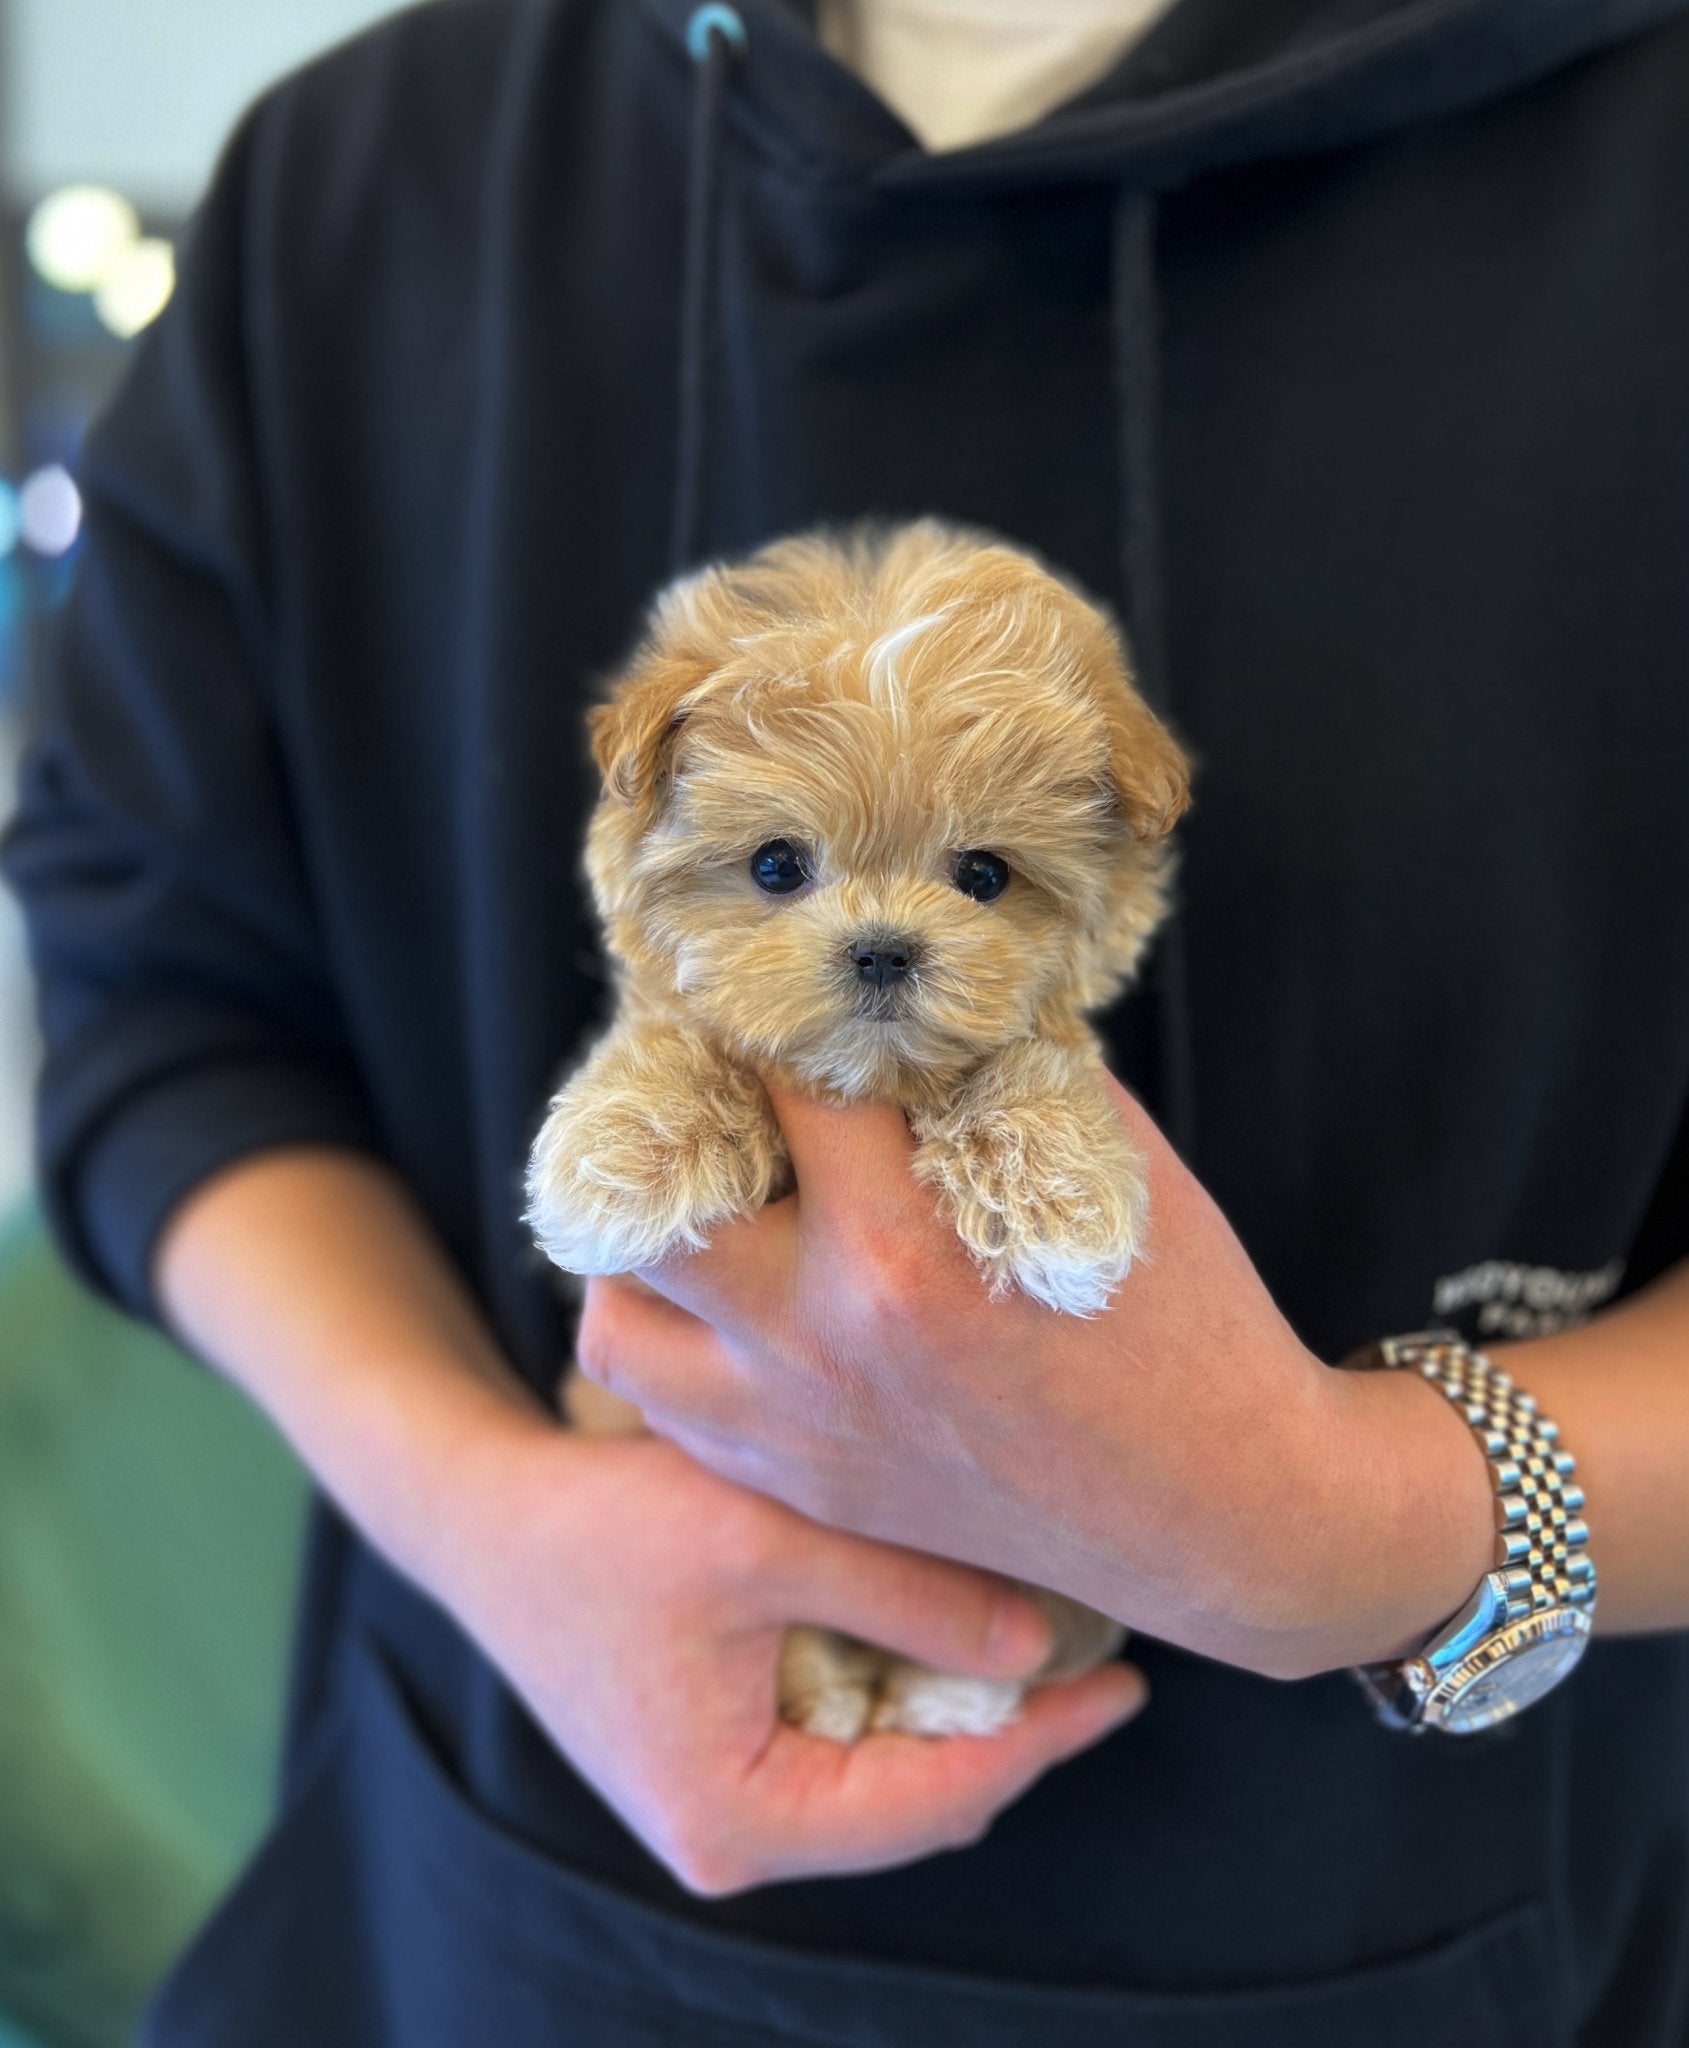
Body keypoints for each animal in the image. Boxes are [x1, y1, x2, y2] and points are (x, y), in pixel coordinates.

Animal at [528, 520, 1187, 1736]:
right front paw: (630, 1152)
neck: (865, 1085)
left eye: (985, 874)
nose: (883, 949)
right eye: (775, 865)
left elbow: (1028, 1055)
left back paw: (944, 1693)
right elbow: (682, 1041)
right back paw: (828, 1690)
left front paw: (1057, 1185)